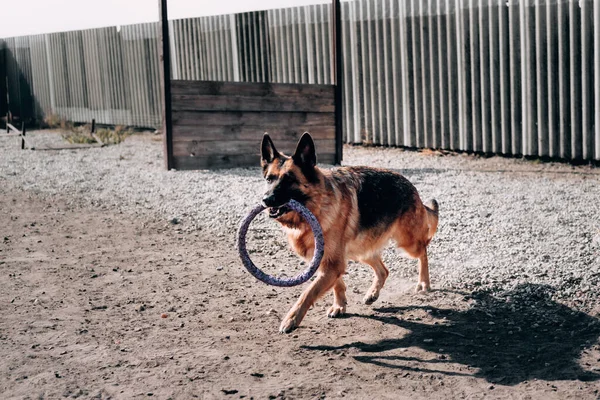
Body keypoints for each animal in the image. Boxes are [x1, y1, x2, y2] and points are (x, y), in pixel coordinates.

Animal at [260, 133, 438, 332]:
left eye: (289, 180)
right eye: (269, 179)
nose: (266, 200)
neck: (316, 206)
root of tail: (410, 186)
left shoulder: (332, 263)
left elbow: (308, 292)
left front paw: (291, 318)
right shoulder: (329, 262)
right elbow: (336, 284)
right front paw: (339, 305)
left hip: (407, 242)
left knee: (423, 250)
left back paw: (423, 282)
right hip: (362, 250)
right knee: (384, 270)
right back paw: (373, 293)